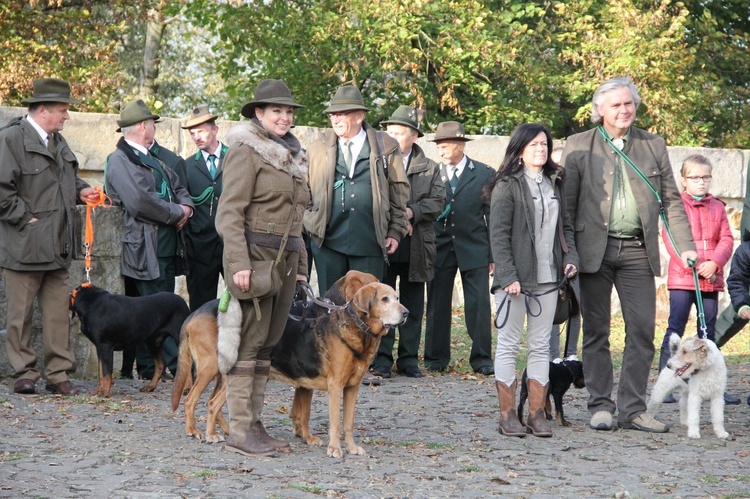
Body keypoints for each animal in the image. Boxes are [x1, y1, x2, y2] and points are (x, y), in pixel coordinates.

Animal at [173, 270, 408, 458]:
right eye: (385, 299)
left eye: (397, 297)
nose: (405, 313)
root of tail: (193, 313)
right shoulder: (334, 387)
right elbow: (329, 420)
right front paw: (333, 448)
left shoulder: (350, 387)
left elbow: (344, 422)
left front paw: (348, 447)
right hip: (212, 367)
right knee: (201, 401)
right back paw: (204, 433)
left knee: (214, 402)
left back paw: (227, 431)